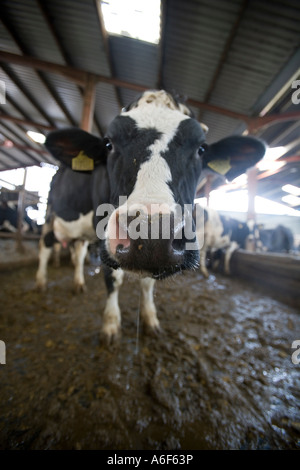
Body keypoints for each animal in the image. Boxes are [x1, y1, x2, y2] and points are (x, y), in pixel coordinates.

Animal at [36, 90, 266, 340]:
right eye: (108, 143)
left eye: (202, 149)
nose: (151, 232)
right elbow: (113, 278)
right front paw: (110, 324)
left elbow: (147, 284)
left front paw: (150, 319)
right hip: (49, 215)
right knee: (45, 246)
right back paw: (41, 281)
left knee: (77, 253)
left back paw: (78, 283)